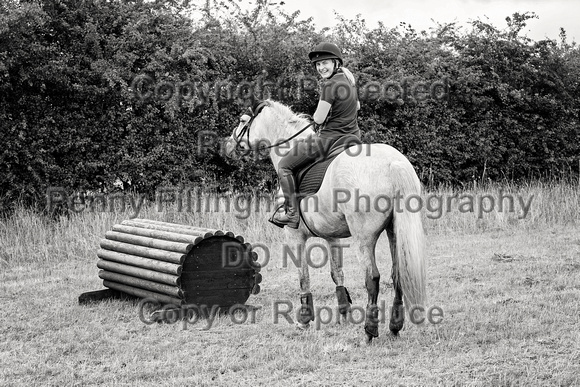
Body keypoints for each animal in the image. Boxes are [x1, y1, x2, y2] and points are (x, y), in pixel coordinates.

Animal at [222, 99, 426, 342]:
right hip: (394, 231)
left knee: (372, 278)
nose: (227, 145)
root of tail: (393, 164)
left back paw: (369, 331)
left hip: (364, 237)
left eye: (243, 120)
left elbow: (303, 276)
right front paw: (344, 314)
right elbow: (337, 273)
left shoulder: (294, 235)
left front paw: (304, 320)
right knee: (398, 274)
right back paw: (395, 327)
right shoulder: (332, 236)